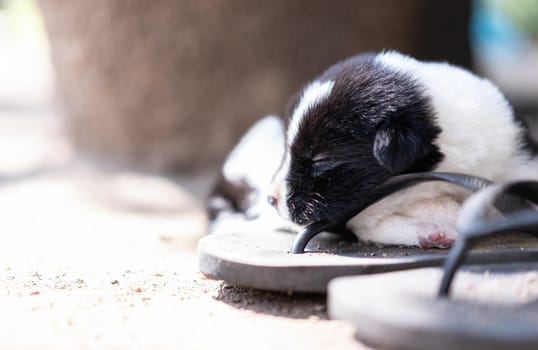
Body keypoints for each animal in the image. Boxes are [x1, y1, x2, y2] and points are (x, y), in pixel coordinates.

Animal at [268, 51, 536, 249]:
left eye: (321, 159)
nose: (272, 198)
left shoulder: (517, 155)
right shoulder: (357, 212)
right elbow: (374, 223)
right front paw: (433, 228)